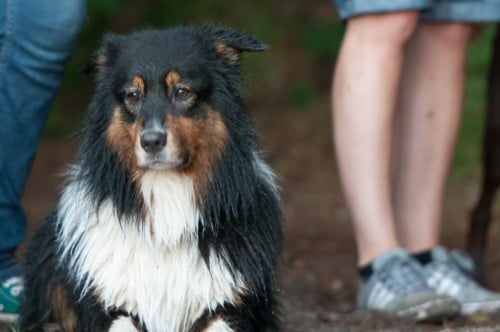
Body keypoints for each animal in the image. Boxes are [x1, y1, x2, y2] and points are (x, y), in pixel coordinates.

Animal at [19, 26, 284, 332]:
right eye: (133, 95)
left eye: (182, 91)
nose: (152, 142)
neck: (167, 197)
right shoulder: (109, 307)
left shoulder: (230, 308)